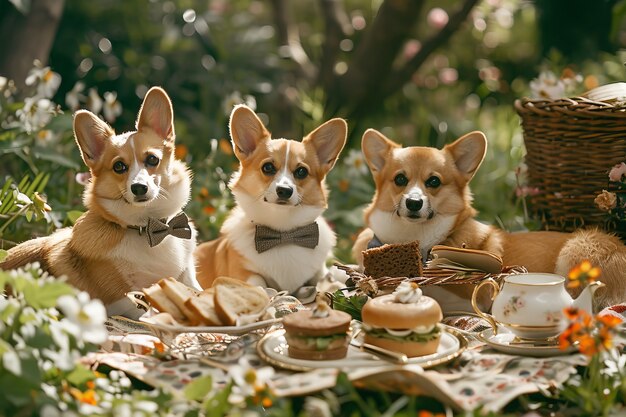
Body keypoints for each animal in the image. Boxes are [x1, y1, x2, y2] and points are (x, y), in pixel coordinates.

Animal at [0, 87, 199, 316]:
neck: (149, 227)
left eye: (152, 159)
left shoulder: (188, 277)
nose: (139, 187)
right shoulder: (123, 302)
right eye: (119, 166)